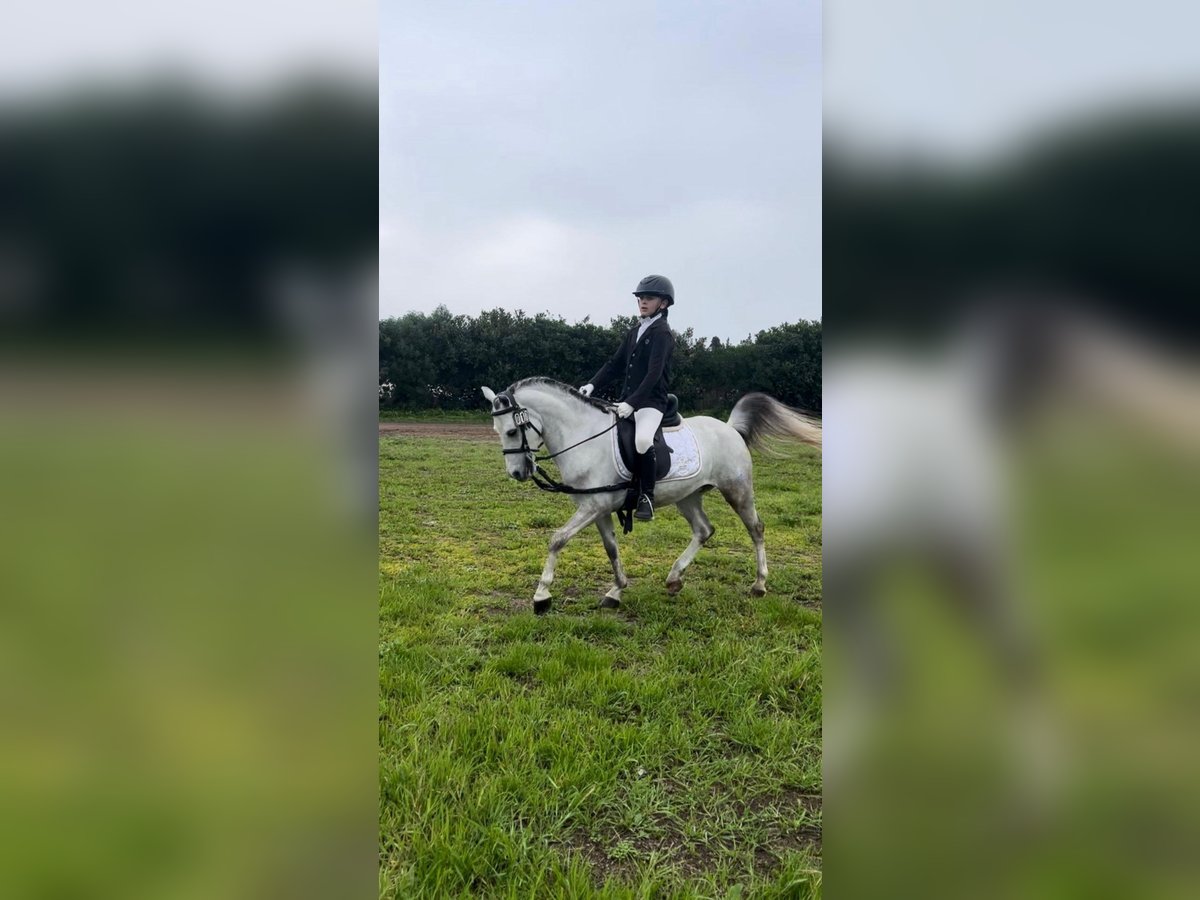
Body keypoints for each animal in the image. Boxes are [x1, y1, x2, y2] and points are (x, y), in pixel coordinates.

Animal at [481, 377, 821, 614]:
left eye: (511, 431)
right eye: (497, 430)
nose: (517, 473)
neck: (585, 438)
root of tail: (729, 427)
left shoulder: (593, 507)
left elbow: (557, 539)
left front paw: (542, 596)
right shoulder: (598, 508)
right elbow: (611, 549)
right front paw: (616, 591)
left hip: (737, 490)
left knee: (756, 529)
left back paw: (760, 584)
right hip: (688, 496)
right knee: (704, 530)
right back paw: (674, 578)